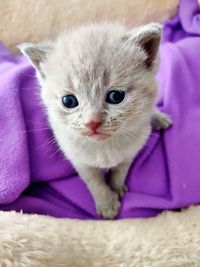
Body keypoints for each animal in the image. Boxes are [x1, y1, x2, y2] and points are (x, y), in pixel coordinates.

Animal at [19, 22, 172, 220]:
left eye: (116, 96)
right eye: (69, 101)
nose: (92, 122)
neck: (105, 149)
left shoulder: (132, 149)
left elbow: (121, 170)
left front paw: (116, 187)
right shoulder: (77, 158)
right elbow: (94, 182)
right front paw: (107, 203)